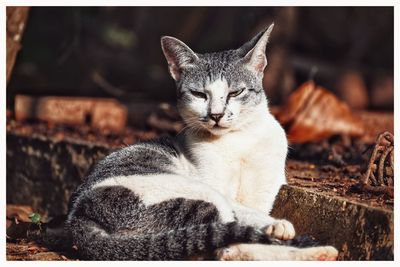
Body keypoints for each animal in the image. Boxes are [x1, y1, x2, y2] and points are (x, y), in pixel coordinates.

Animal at [65, 24, 338, 260]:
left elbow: (254, 211)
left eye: (235, 92)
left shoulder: (267, 185)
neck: (239, 140)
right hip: (195, 197)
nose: (216, 114)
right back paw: (318, 251)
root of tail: (78, 220)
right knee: (227, 242)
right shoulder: (218, 189)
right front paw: (276, 225)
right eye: (199, 94)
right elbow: (248, 216)